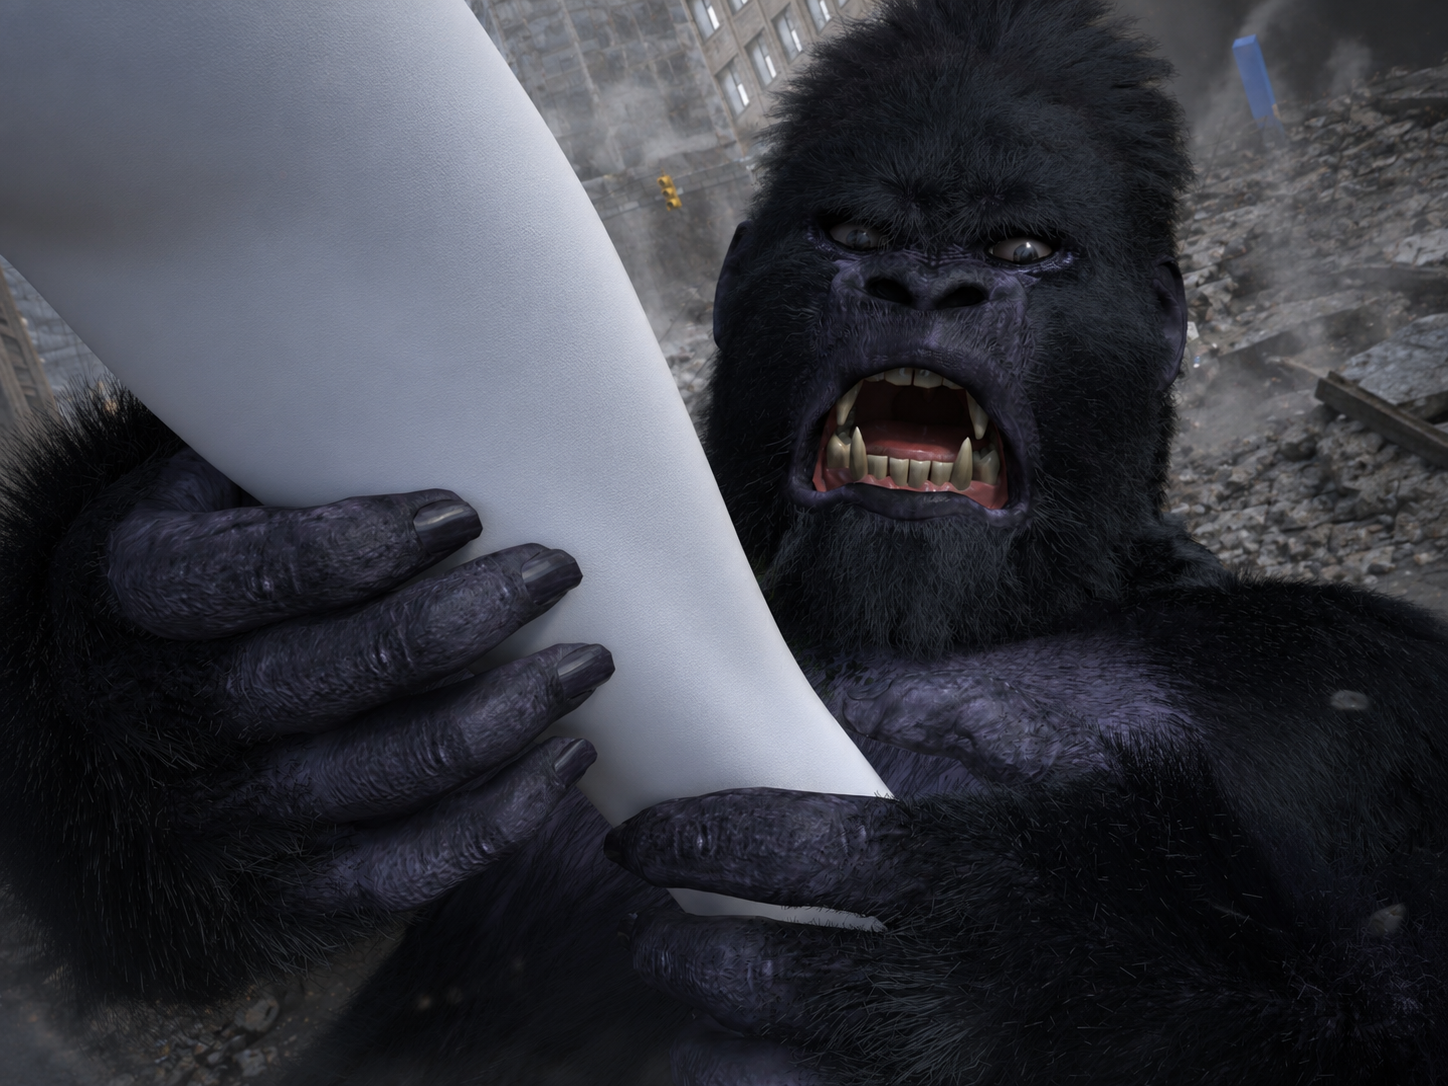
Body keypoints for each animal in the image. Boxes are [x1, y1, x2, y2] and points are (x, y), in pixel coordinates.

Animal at [3, 0, 1448, 1083]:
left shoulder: (1369, 678)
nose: (925, 284)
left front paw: (1043, 956)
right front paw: (189, 688)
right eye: (852, 233)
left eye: (1024, 249)